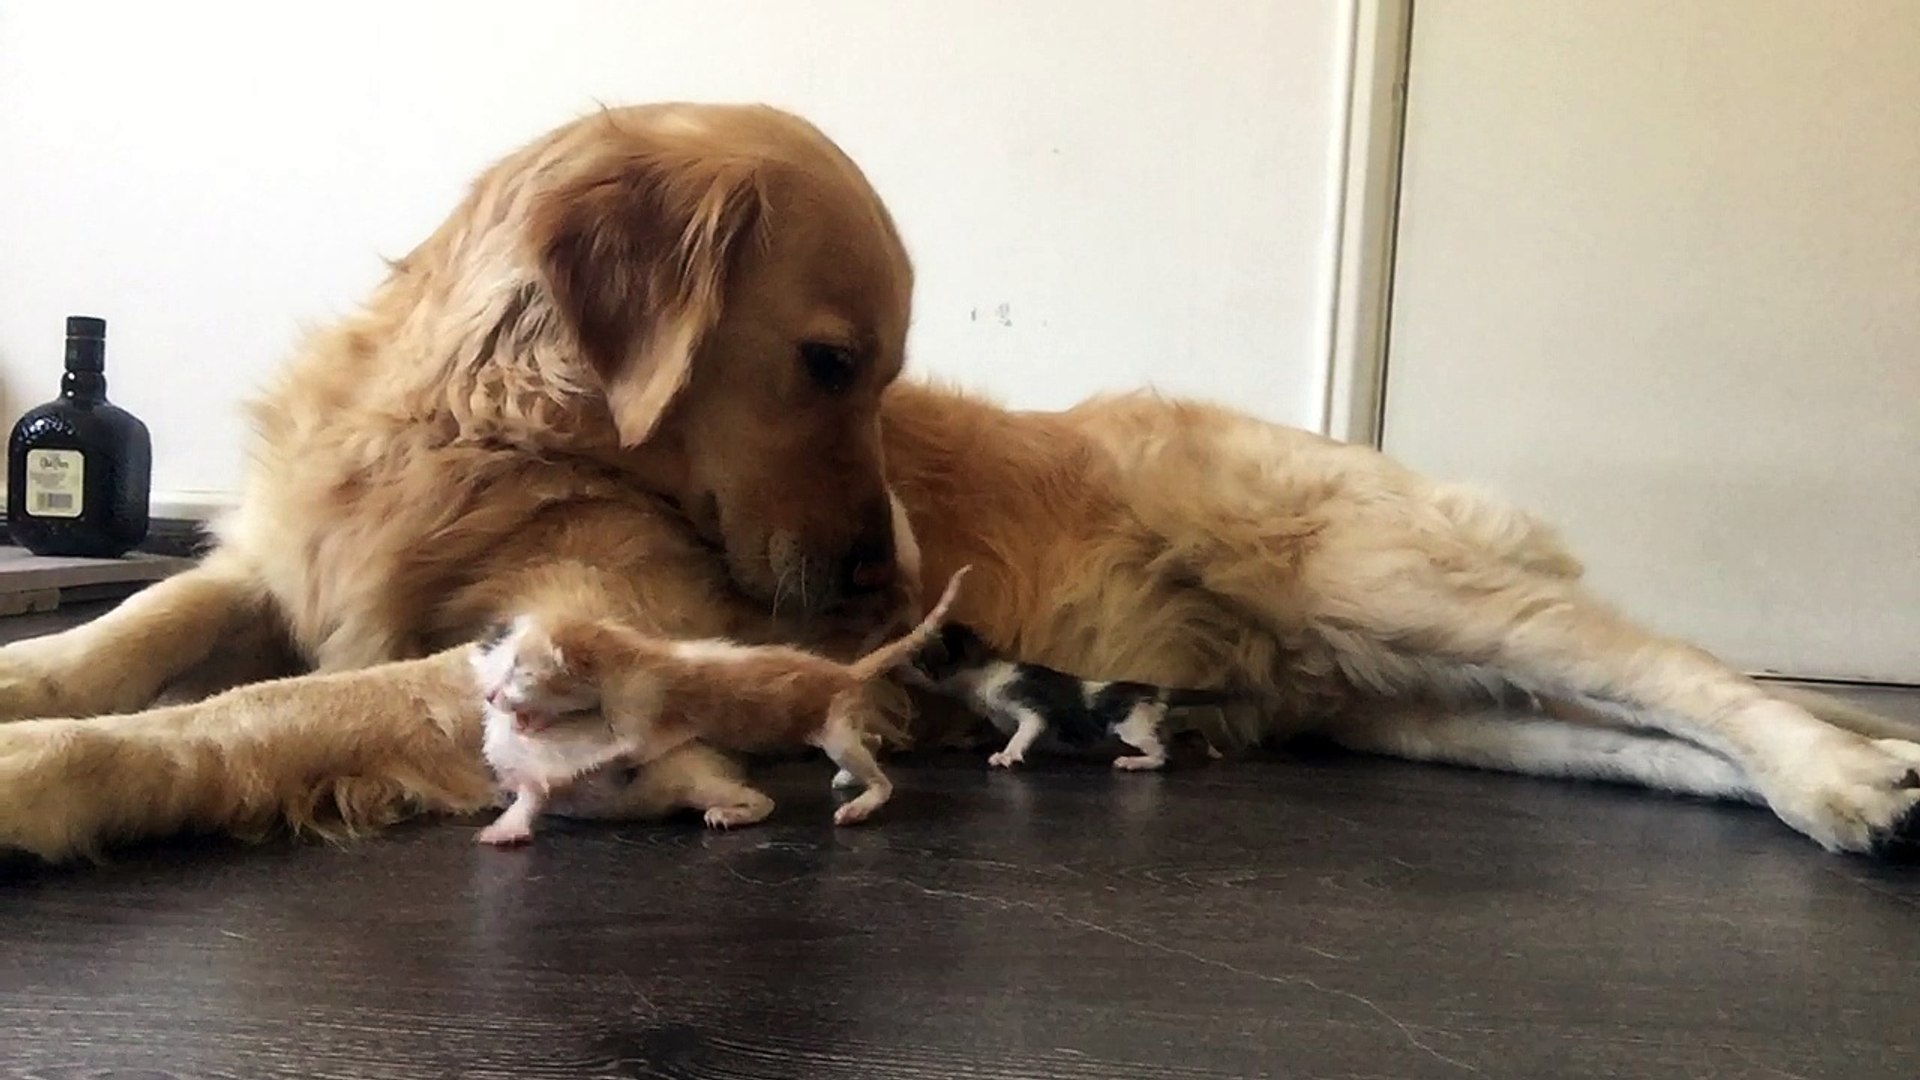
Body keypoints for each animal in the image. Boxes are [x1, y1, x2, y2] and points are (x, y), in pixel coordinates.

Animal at [906, 622, 1236, 764]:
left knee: (1161, 754)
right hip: (1154, 721)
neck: (986, 673)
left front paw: (1007, 754)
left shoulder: (1031, 706)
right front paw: (960, 740)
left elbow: (1024, 731)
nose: (912, 654)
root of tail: (1157, 689)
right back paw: (1214, 751)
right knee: (1188, 734)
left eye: (926, 657)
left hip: (1131, 726)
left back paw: (1134, 763)